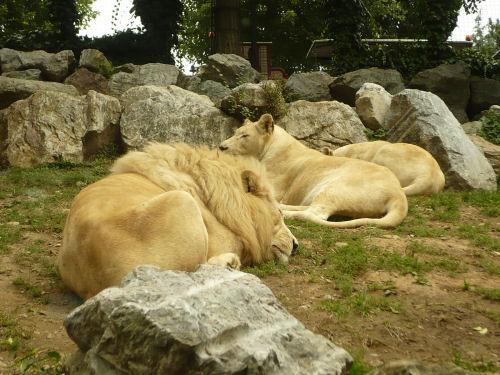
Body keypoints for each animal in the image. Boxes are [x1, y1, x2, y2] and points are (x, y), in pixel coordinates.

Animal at [221, 114, 408, 229]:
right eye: (235, 133)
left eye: (244, 136)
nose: (222, 147)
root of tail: (398, 194)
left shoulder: (274, 189)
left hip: (336, 188)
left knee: (313, 214)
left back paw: (283, 212)